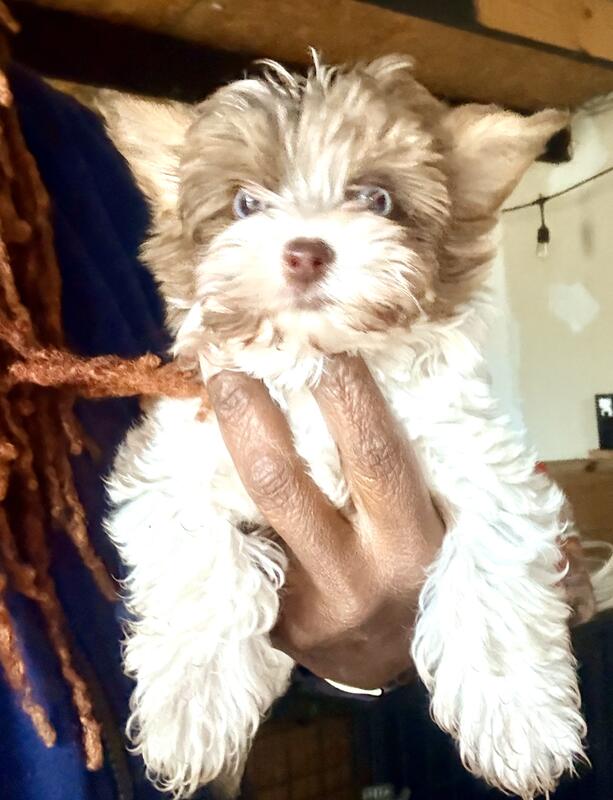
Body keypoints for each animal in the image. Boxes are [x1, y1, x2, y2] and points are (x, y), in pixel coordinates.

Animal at [101, 55, 611, 799]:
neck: (314, 360)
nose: (305, 251)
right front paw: (192, 706)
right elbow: (197, 562)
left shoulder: (481, 460)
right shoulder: (178, 456)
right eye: (246, 205)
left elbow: (491, 568)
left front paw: (518, 721)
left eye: (376, 199)